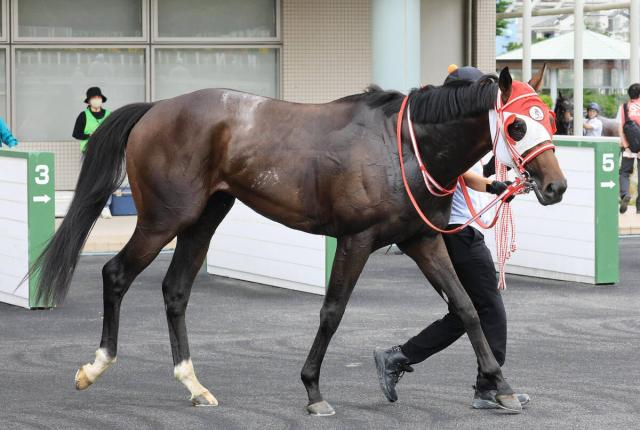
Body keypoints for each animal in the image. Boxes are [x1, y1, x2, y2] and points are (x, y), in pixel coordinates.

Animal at [32, 66, 566, 416]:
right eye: (518, 124)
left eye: (552, 120)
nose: (555, 186)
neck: (402, 148)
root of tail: (156, 109)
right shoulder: (355, 240)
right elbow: (332, 311)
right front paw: (313, 391)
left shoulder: (422, 241)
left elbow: (468, 307)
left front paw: (502, 386)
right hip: (165, 217)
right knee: (116, 273)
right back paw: (94, 367)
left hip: (204, 217)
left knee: (176, 290)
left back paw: (194, 384)